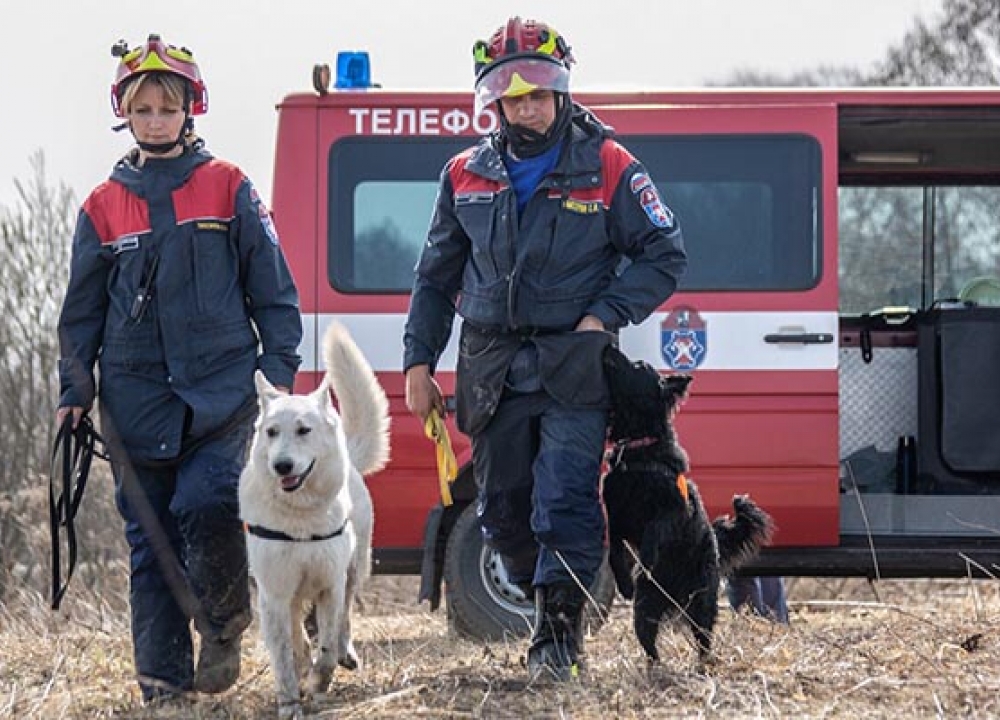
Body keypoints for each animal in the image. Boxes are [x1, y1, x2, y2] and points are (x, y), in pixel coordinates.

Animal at [240, 324, 388, 716]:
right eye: (272, 432)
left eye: (303, 430)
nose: (282, 466)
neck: (299, 518)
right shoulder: (274, 594)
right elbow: (285, 655)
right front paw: (290, 702)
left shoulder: (329, 586)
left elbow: (327, 650)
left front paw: (320, 684)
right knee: (298, 636)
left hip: (355, 568)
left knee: (343, 622)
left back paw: (344, 653)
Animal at [600, 346, 772, 660]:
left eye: (638, 365)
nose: (609, 347)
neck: (639, 450)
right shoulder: (616, 517)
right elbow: (614, 553)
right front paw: (625, 583)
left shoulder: (674, 509)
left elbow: (653, 531)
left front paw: (646, 561)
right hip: (645, 607)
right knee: (649, 642)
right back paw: (655, 667)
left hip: (701, 601)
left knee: (703, 639)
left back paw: (704, 664)